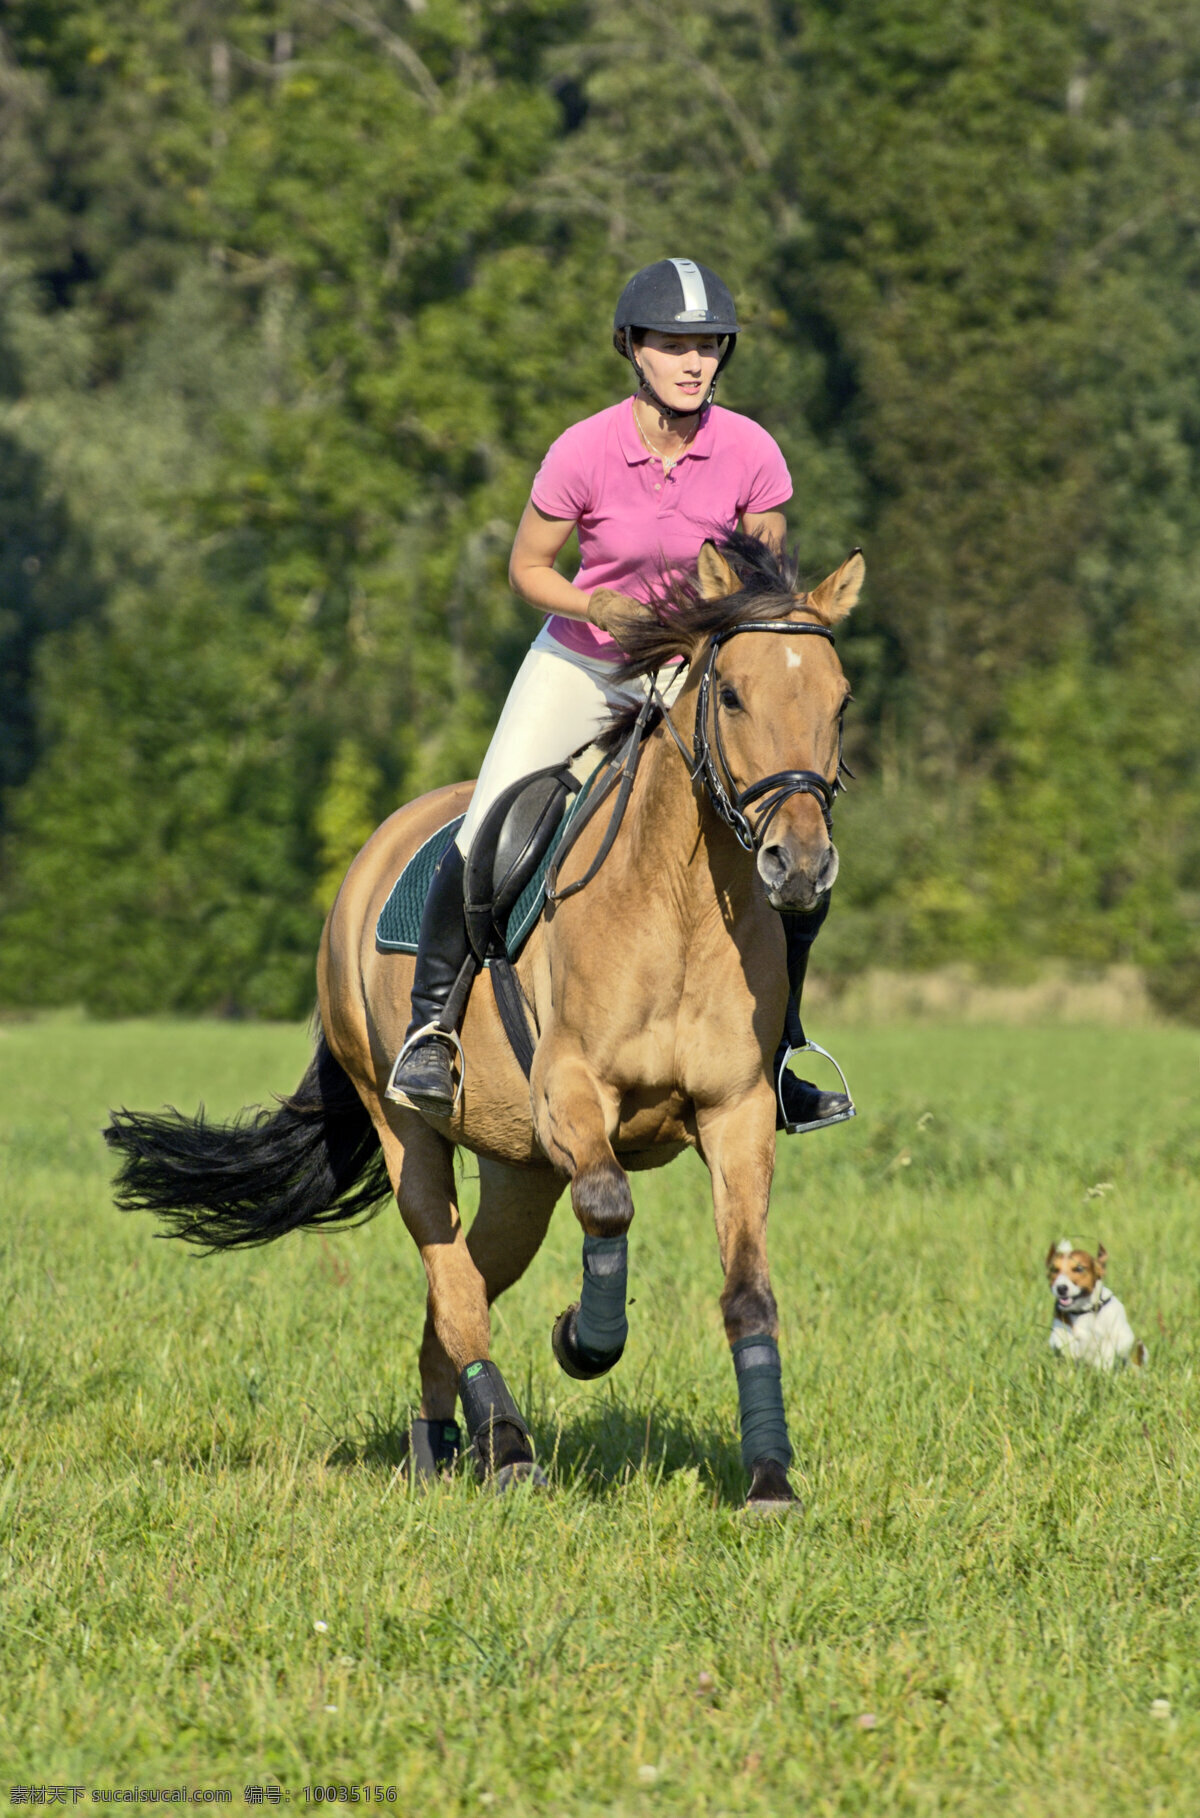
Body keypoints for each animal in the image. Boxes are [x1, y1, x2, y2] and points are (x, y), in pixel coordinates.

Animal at [107, 530, 861, 1512]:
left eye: (840, 701)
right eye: (730, 693)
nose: (798, 865)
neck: (683, 903)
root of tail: (377, 848)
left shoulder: (735, 1113)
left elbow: (748, 1290)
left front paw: (769, 1475)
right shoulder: (572, 1092)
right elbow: (610, 1204)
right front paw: (583, 1339)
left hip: (520, 1173)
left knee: (462, 1280)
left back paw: (442, 1444)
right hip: (406, 1125)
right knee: (453, 1276)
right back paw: (503, 1446)